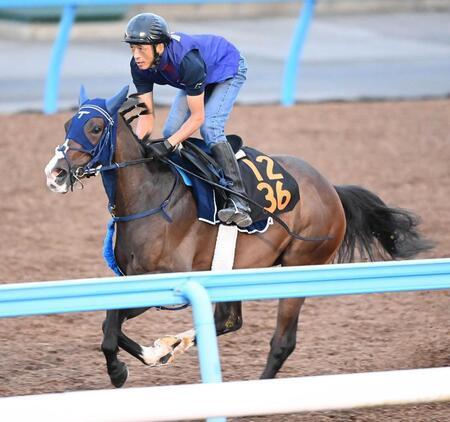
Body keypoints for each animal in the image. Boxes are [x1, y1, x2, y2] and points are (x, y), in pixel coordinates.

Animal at [44, 86, 430, 390]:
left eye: (95, 127)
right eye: (66, 125)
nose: (55, 173)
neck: (149, 197)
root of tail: (331, 189)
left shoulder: (167, 282)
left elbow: (110, 328)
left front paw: (122, 369)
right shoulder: (133, 278)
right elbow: (109, 324)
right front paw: (152, 354)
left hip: (299, 267)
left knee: (282, 341)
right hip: (235, 269)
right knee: (228, 320)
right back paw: (171, 345)